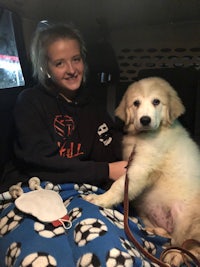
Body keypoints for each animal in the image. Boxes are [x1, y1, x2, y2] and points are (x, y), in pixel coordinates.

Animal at [85, 76, 200, 266]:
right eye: (136, 103)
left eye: (156, 102)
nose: (145, 120)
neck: (144, 136)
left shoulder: (142, 166)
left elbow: (118, 186)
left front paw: (100, 199)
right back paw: (156, 232)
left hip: (188, 218)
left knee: (189, 245)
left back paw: (175, 255)